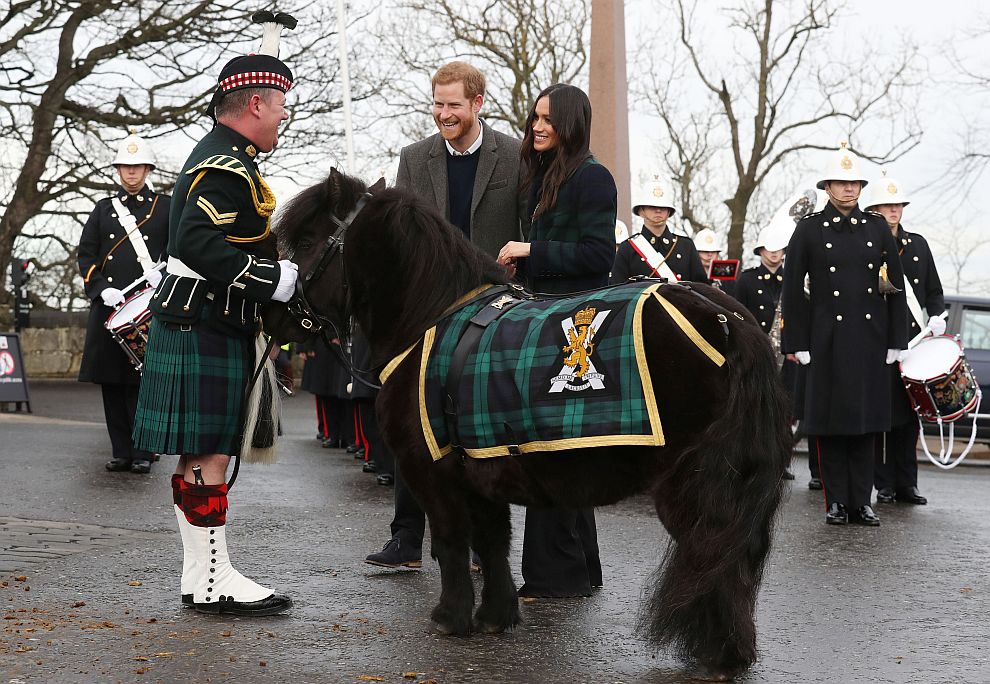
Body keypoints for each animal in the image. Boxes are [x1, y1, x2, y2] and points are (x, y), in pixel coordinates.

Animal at [268, 168, 796, 680]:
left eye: (309, 241)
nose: (276, 315)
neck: (429, 319)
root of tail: (727, 317)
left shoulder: (431, 469)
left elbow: (452, 538)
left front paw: (451, 617)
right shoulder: (481, 464)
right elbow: (493, 540)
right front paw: (495, 615)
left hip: (689, 483)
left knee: (715, 551)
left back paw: (719, 653)